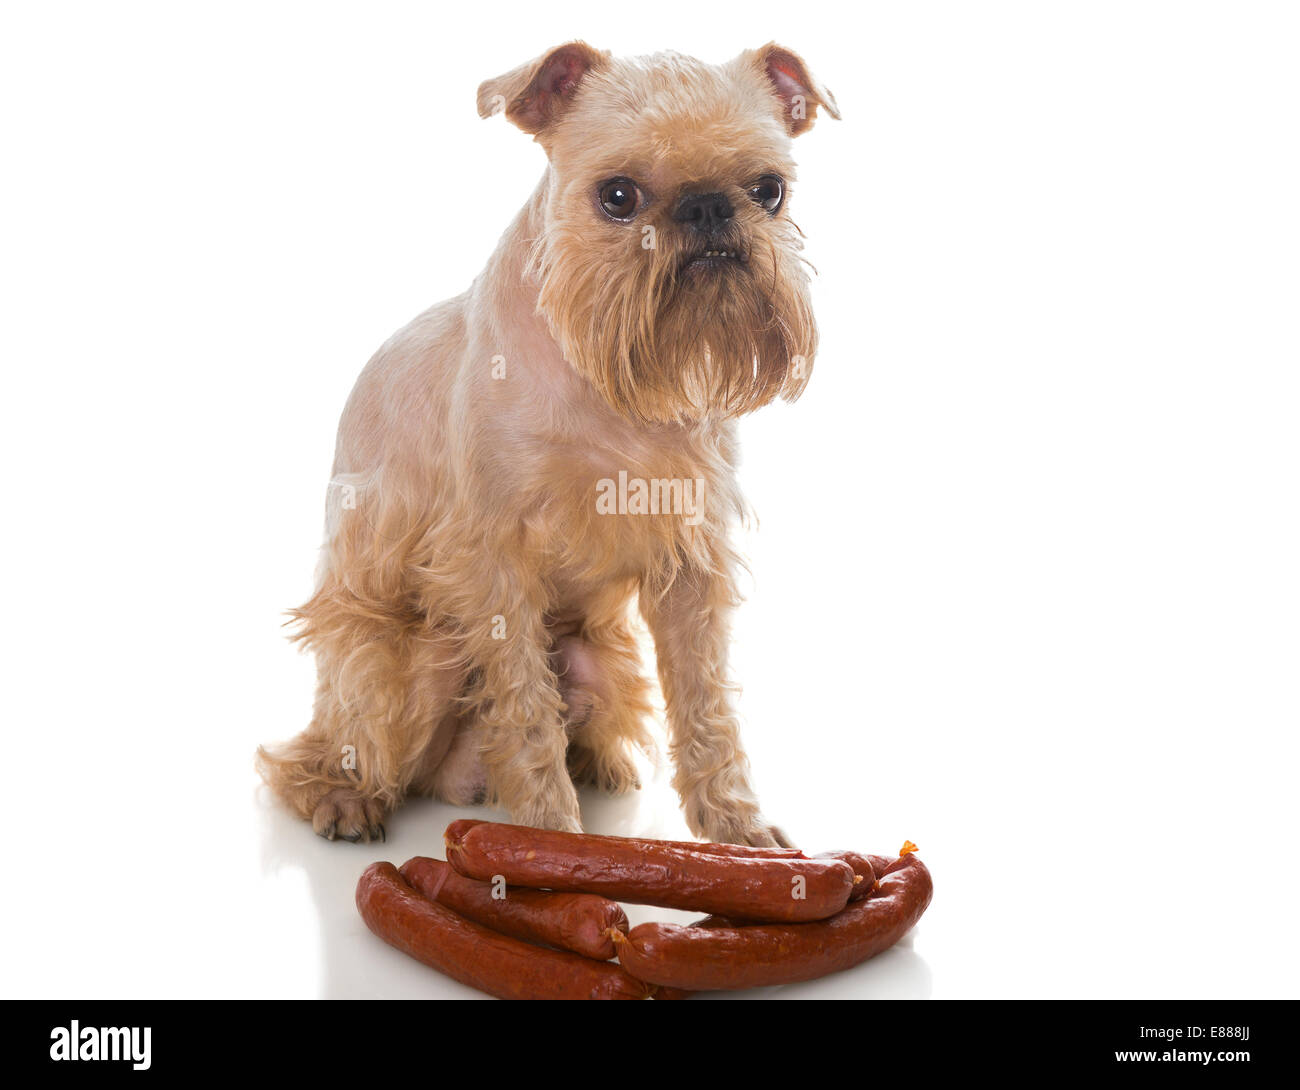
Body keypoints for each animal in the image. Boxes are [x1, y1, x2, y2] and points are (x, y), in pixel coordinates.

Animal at [254, 40, 842, 842]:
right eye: (617, 196)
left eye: (769, 190)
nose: (706, 206)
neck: (607, 390)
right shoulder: (492, 562)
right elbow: (525, 710)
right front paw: (552, 839)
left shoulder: (690, 562)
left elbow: (706, 702)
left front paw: (737, 830)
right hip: (410, 656)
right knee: (318, 751)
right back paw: (343, 798)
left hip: (598, 659)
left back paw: (599, 764)